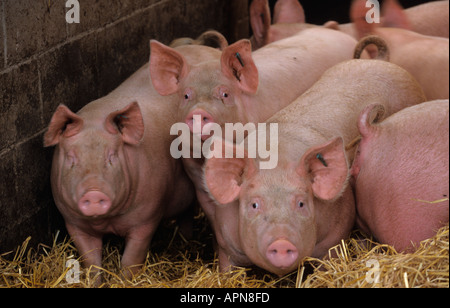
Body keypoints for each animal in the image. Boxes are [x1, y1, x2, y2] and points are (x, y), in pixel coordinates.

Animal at [43, 56, 203, 276]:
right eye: (71, 158)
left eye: (112, 157)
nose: (94, 193)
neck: (107, 221)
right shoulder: (73, 222)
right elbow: (91, 261)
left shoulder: (148, 216)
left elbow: (131, 259)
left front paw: (125, 278)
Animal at [204, 59, 426, 276]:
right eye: (254, 205)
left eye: (302, 203)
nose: (281, 243)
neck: (277, 160)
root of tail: (386, 64)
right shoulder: (225, 244)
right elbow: (227, 271)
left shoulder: (336, 233)